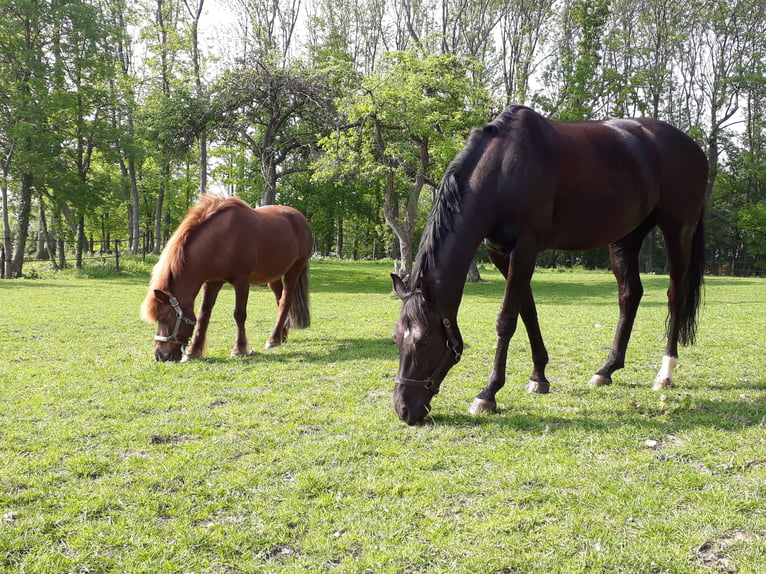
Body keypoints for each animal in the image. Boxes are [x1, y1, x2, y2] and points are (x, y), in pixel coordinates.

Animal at [142, 196, 314, 362]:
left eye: (163, 318)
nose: (160, 356)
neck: (222, 239)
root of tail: (301, 219)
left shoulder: (242, 281)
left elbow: (239, 314)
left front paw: (239, 349)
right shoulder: (212, 282)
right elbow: (204, 315)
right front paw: (193, 351)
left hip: (294, 270)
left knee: (285, 302)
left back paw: (273, 339)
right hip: (273, 276)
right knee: (280, 301)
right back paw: (281, 335)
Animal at [392, 106, 712, 426]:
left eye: (423, 341)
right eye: (396, 338)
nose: (403, 409)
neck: (502, 170)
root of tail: (694, 148)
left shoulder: (525, 249)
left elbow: (506, 319)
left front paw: (488, 393)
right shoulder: (500, 252)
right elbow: (527, 311)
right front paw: (539, 377)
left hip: (678, 230)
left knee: (676, 296)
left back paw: (665, 373)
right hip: (626, 236)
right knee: (630, 295)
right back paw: (607, 370)